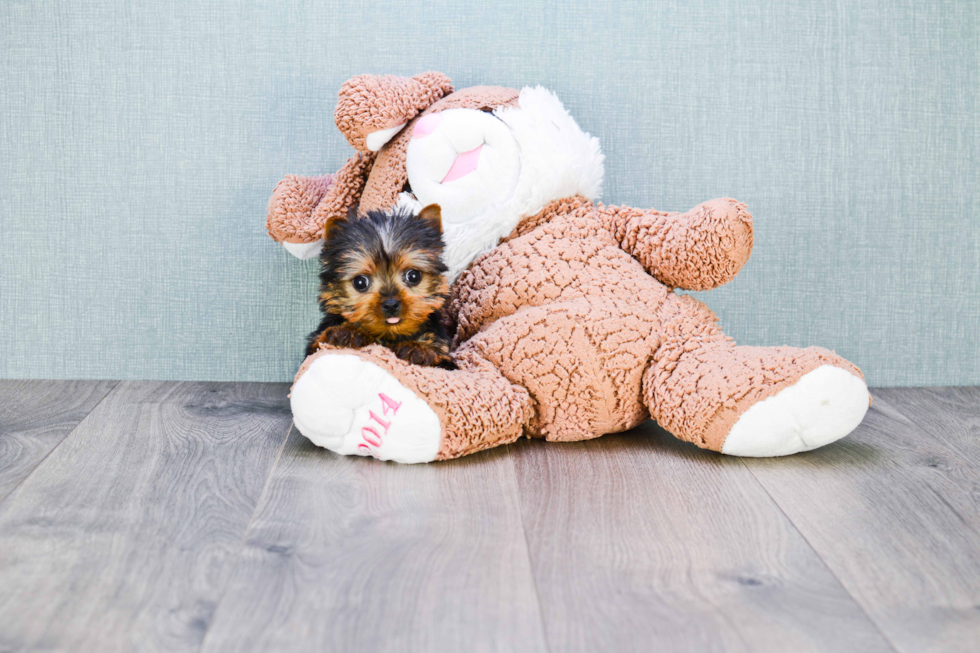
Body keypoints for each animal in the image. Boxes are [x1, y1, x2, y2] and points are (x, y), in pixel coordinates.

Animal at [306, 201, 456, 370]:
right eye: (360, 282)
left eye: (413, 276)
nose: (391, 304)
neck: (389, 334)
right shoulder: (315, 344)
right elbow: (320, 341)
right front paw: (347, 331)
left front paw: (420, 347)